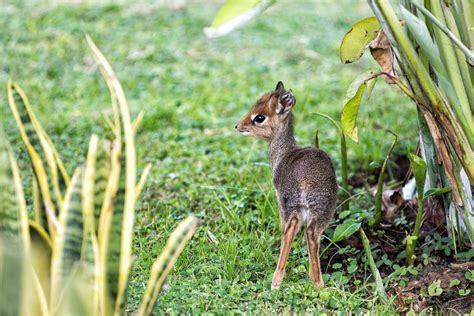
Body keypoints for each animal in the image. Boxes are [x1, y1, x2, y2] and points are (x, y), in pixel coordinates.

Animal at [236, 81, 338, 288]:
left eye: (259, 117)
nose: (238, 126)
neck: (284, 154)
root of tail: (307, 183)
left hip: (291, 207)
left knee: (290, 231)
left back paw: (277, 281)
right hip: (322, 212)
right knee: (312, 235)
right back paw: (317, 283)